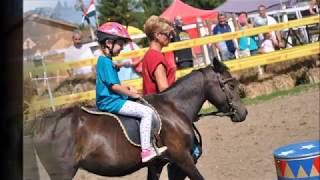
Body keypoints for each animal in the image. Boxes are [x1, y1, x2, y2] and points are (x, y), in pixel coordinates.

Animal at [32, 58, 248, 179]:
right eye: (230, 86)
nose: (243, 112)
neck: (174, 108)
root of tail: (42, 124)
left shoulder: (157, 164)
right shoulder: (183, 159)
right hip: (62, 172)